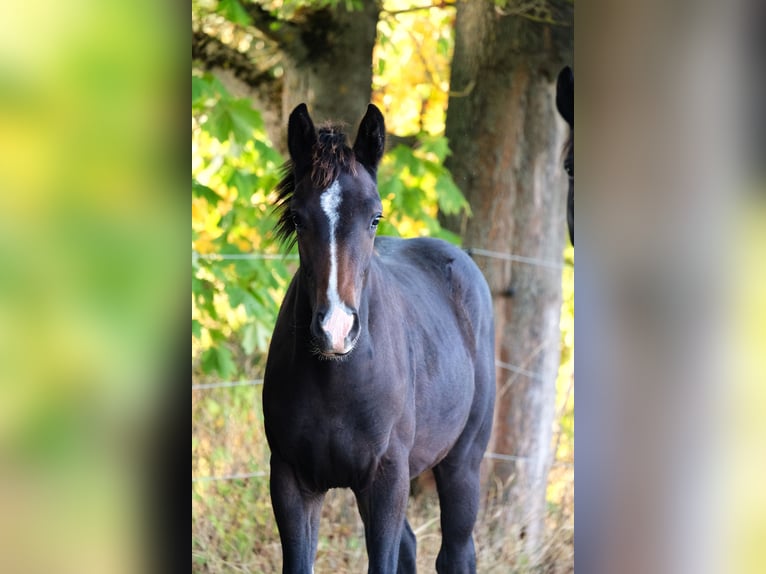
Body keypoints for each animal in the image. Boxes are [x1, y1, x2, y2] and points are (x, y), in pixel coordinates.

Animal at [262, 103, 496, 574]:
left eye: (375, 217)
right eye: (297, 217)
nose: (335, 330)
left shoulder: (387, 480)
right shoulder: (291, 482)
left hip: (462, 465)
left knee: (457, 552)